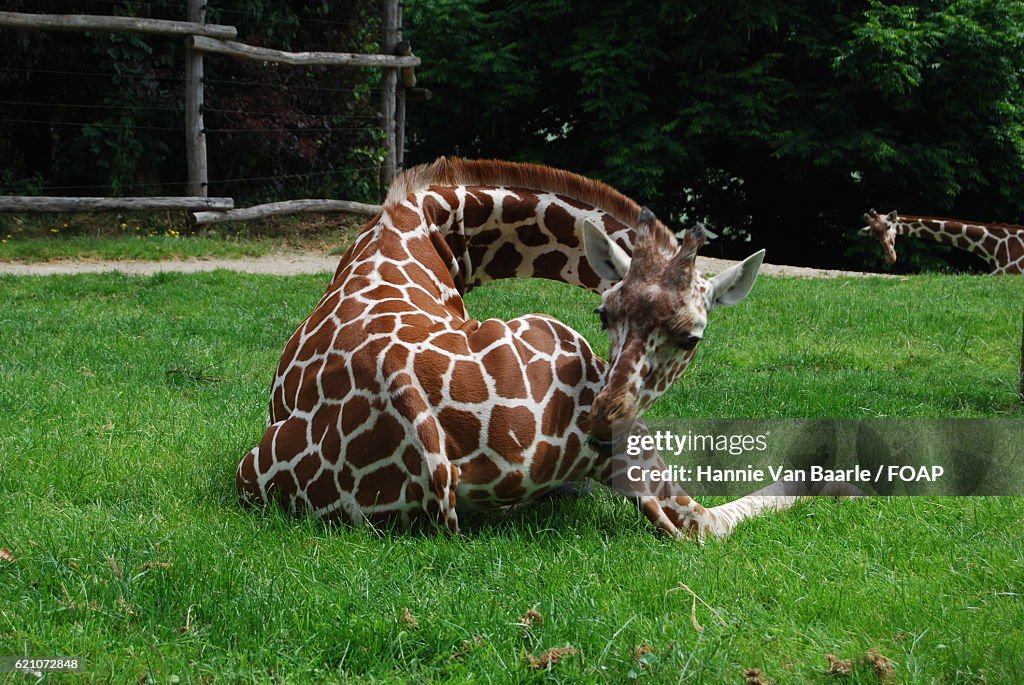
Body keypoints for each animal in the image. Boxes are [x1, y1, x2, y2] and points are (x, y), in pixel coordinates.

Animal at [237, 157, 798, 536]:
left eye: (690, 337)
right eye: (604, 314)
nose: (603, 422)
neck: (432, 224)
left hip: (254, 472)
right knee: (706, 523)